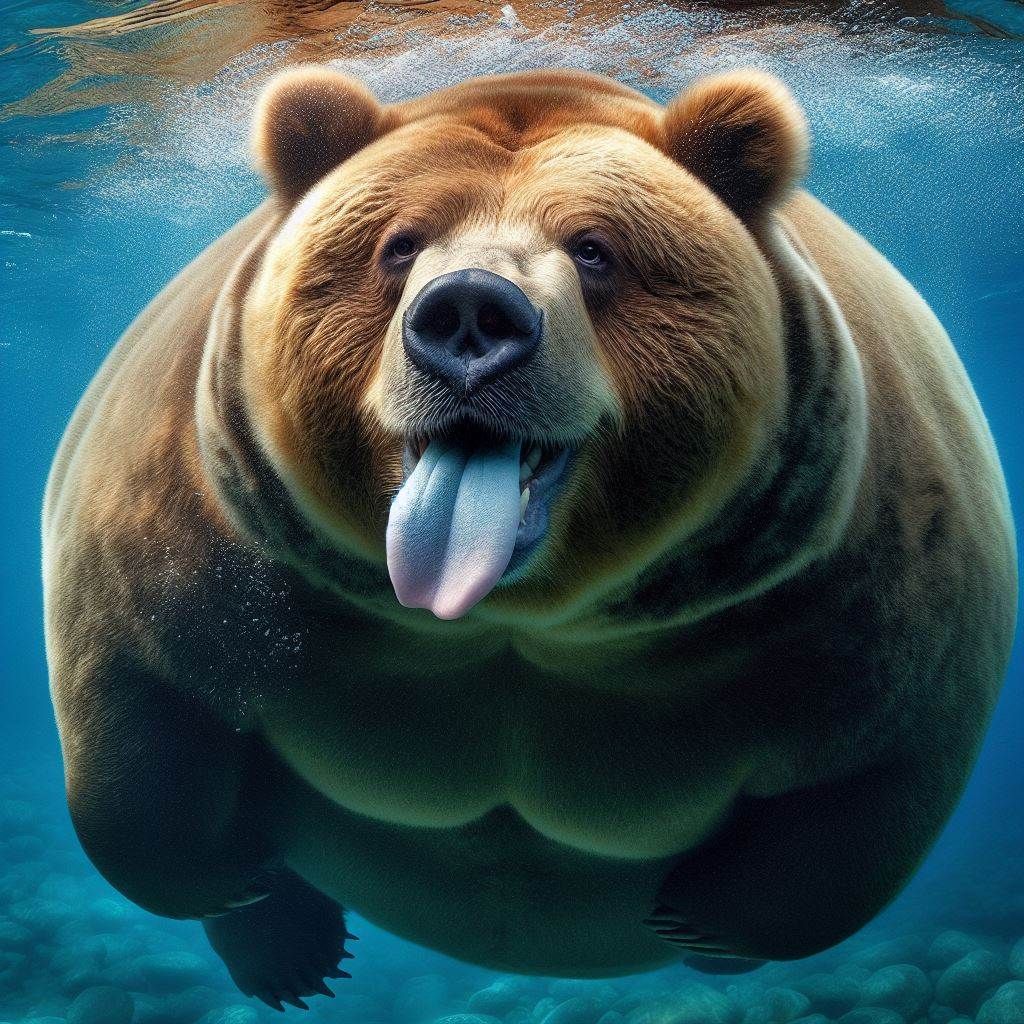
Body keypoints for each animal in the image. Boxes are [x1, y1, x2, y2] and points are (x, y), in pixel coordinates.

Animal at [43, 66, 1016, 1009]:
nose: (471, 314)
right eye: (401, 243)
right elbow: (141, 729)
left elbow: (872, 780)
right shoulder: (209, 549)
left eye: (594, 249)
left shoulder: (849, 589)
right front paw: (245, 891)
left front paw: (703, 920)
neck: (510, 618)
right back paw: (289, 954)